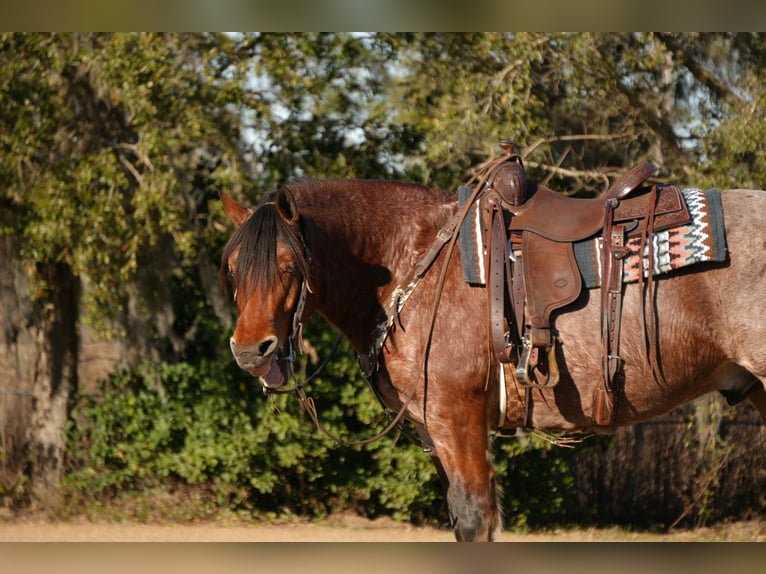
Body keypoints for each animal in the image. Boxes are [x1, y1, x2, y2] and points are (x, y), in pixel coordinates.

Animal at [219, 176, 766, 541]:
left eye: (289, 265)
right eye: (233, 267)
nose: (250, 350)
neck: (413, 261)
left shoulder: (456, 416)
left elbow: (474, 517)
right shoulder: (434, 429)